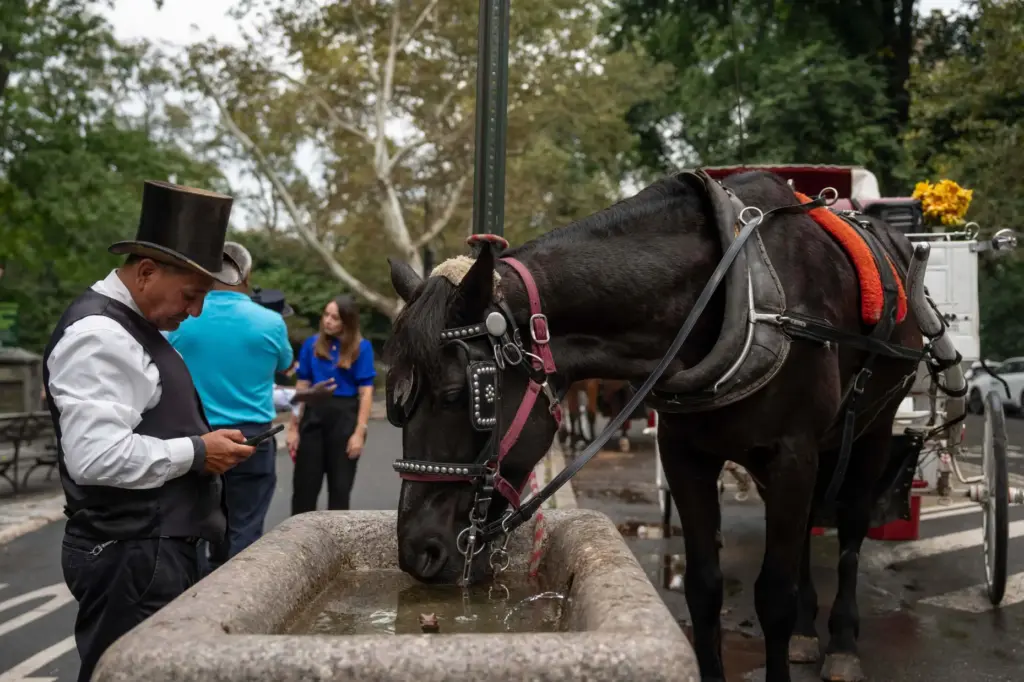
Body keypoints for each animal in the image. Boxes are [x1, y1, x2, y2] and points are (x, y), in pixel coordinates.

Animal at [383, 168, 933, 682]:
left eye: (458, 394)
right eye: (396, 403)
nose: (416, 551)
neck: (736, 291)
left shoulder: (791, 453)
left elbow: (774, 594)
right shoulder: (686, 454)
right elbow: (704, 587)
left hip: (872, 427)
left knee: (851, 528)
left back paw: (841, 641)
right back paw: (806, 631)